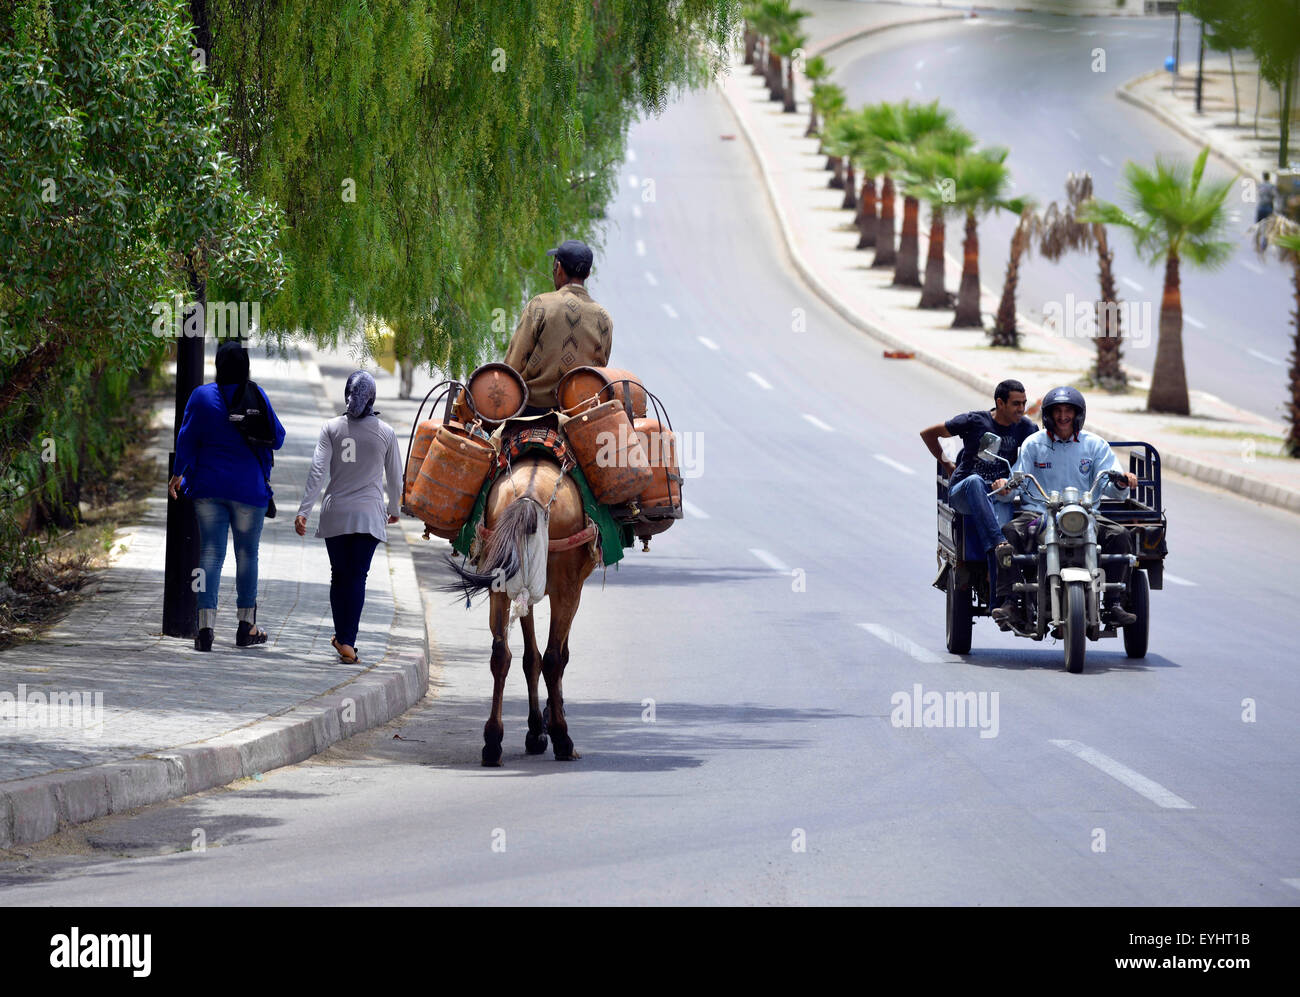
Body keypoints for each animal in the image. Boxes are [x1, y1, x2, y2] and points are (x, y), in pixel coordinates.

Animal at [444, 457, 592, 769]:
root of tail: (528, 498)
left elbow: (530, 658)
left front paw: (536, 729)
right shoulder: (574, 587)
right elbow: (557, 656)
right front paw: (548, 721)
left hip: (500, 581)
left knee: (501, 654)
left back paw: (492, 742)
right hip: (564, 587)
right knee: (553, 658)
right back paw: (563, 740)